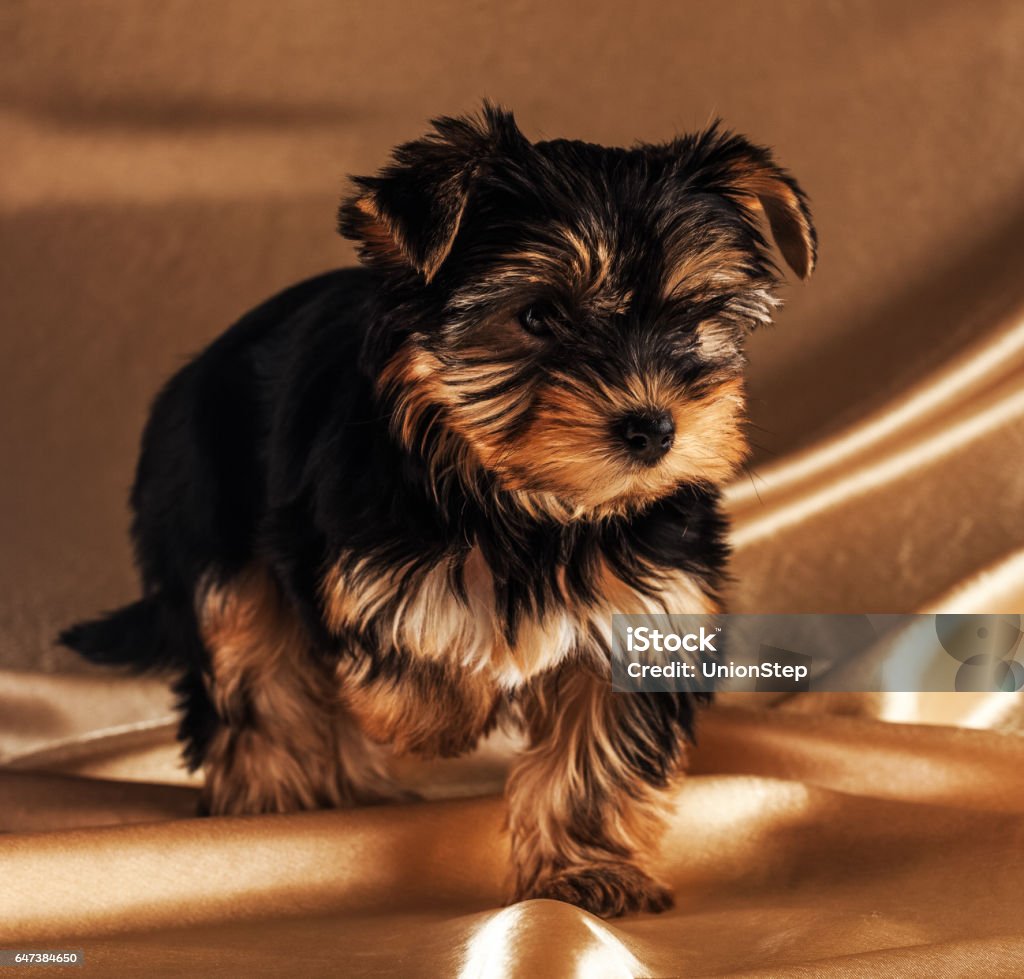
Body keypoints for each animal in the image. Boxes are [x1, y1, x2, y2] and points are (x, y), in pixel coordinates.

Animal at [64, 103, 815, 913]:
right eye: (539, 316)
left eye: (696, 316)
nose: (653, 428)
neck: (536, 507)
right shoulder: (364, 562)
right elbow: (416, 631)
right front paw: (445, 718)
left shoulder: (651, 607)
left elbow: (598, 754)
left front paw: (588, 873)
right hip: (212, 522)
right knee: (259, 670)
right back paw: (277, 797)